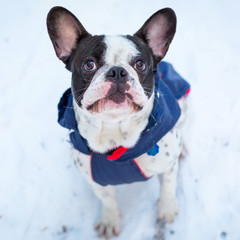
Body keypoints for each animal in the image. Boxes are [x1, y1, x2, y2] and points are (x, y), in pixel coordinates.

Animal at [46, 6, 189, 239]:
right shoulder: (94, 180)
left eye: (140, 64)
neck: (115, 129)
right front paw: (109, 219)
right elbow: (108, 200)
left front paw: (167, 209)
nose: (117, 71)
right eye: (89, 64)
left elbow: (168, 187)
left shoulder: (168, 166)